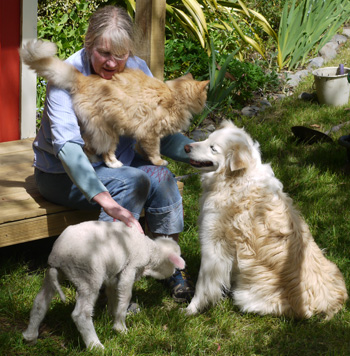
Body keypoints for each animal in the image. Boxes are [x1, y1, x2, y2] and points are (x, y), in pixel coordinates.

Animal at [19, 39, 208, 168]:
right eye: (205, 96)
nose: (207, 102)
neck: (175, 94)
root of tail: (84, 79)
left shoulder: (143, 135)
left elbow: (144, 149)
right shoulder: (150, 133)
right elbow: (154, 151)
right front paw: (159, 161)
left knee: (86, 145)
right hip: (108, 131)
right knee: (101, 151)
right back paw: (114, 164)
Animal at [22, 221, 185, 350]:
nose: (175, 273)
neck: (151, 251)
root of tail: (57, 256)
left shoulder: (114, 275)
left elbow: (113, 295)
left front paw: (111, 314)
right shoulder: (130, 269)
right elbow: (125, 297)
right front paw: (120, 328)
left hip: (53, 275)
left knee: (40, 303)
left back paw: (30, 337)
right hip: (88, 277)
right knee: (80, 314)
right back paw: (95, 346)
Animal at [183, 121, 348, 318]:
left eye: (213, 148)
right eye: (207, 138)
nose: (185, 147)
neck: (236, 179)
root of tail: (330, 303)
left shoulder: (213, 245)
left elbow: (202, 285)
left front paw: (190, 309)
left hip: (245, 297)